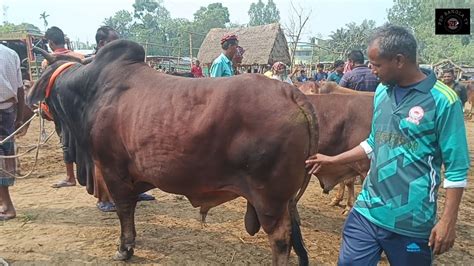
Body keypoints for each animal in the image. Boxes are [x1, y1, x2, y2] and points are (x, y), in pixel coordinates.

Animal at [28, 40, 318, 266]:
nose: (37, 109)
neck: (89, 90)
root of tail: (291, 93)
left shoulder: (113, 171)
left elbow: (124, 210)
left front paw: (125, 248)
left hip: (269, 198)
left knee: (280, 239)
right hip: (284, 199)